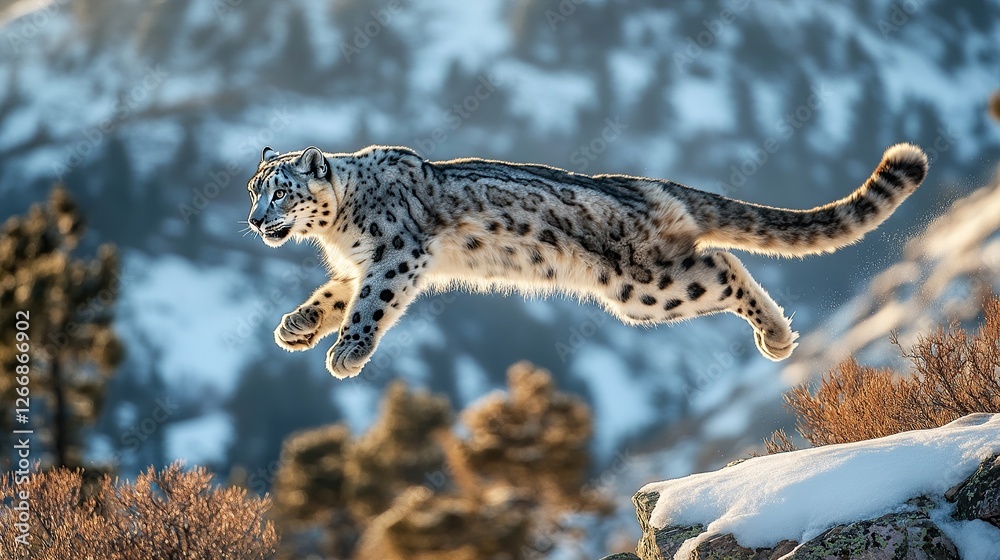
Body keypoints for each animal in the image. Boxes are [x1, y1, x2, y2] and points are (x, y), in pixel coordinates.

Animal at [245, 143, 928, 378]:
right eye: (253, 189)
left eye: (279, 191)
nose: (253, 220)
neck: (341, 231)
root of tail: (646, 185)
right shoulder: (359, 265)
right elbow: (336, 295)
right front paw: (298, 327)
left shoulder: (396, 254)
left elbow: (370, 303)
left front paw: (347, 351)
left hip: (644, 286)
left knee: (723, 266)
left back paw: (778, 336)